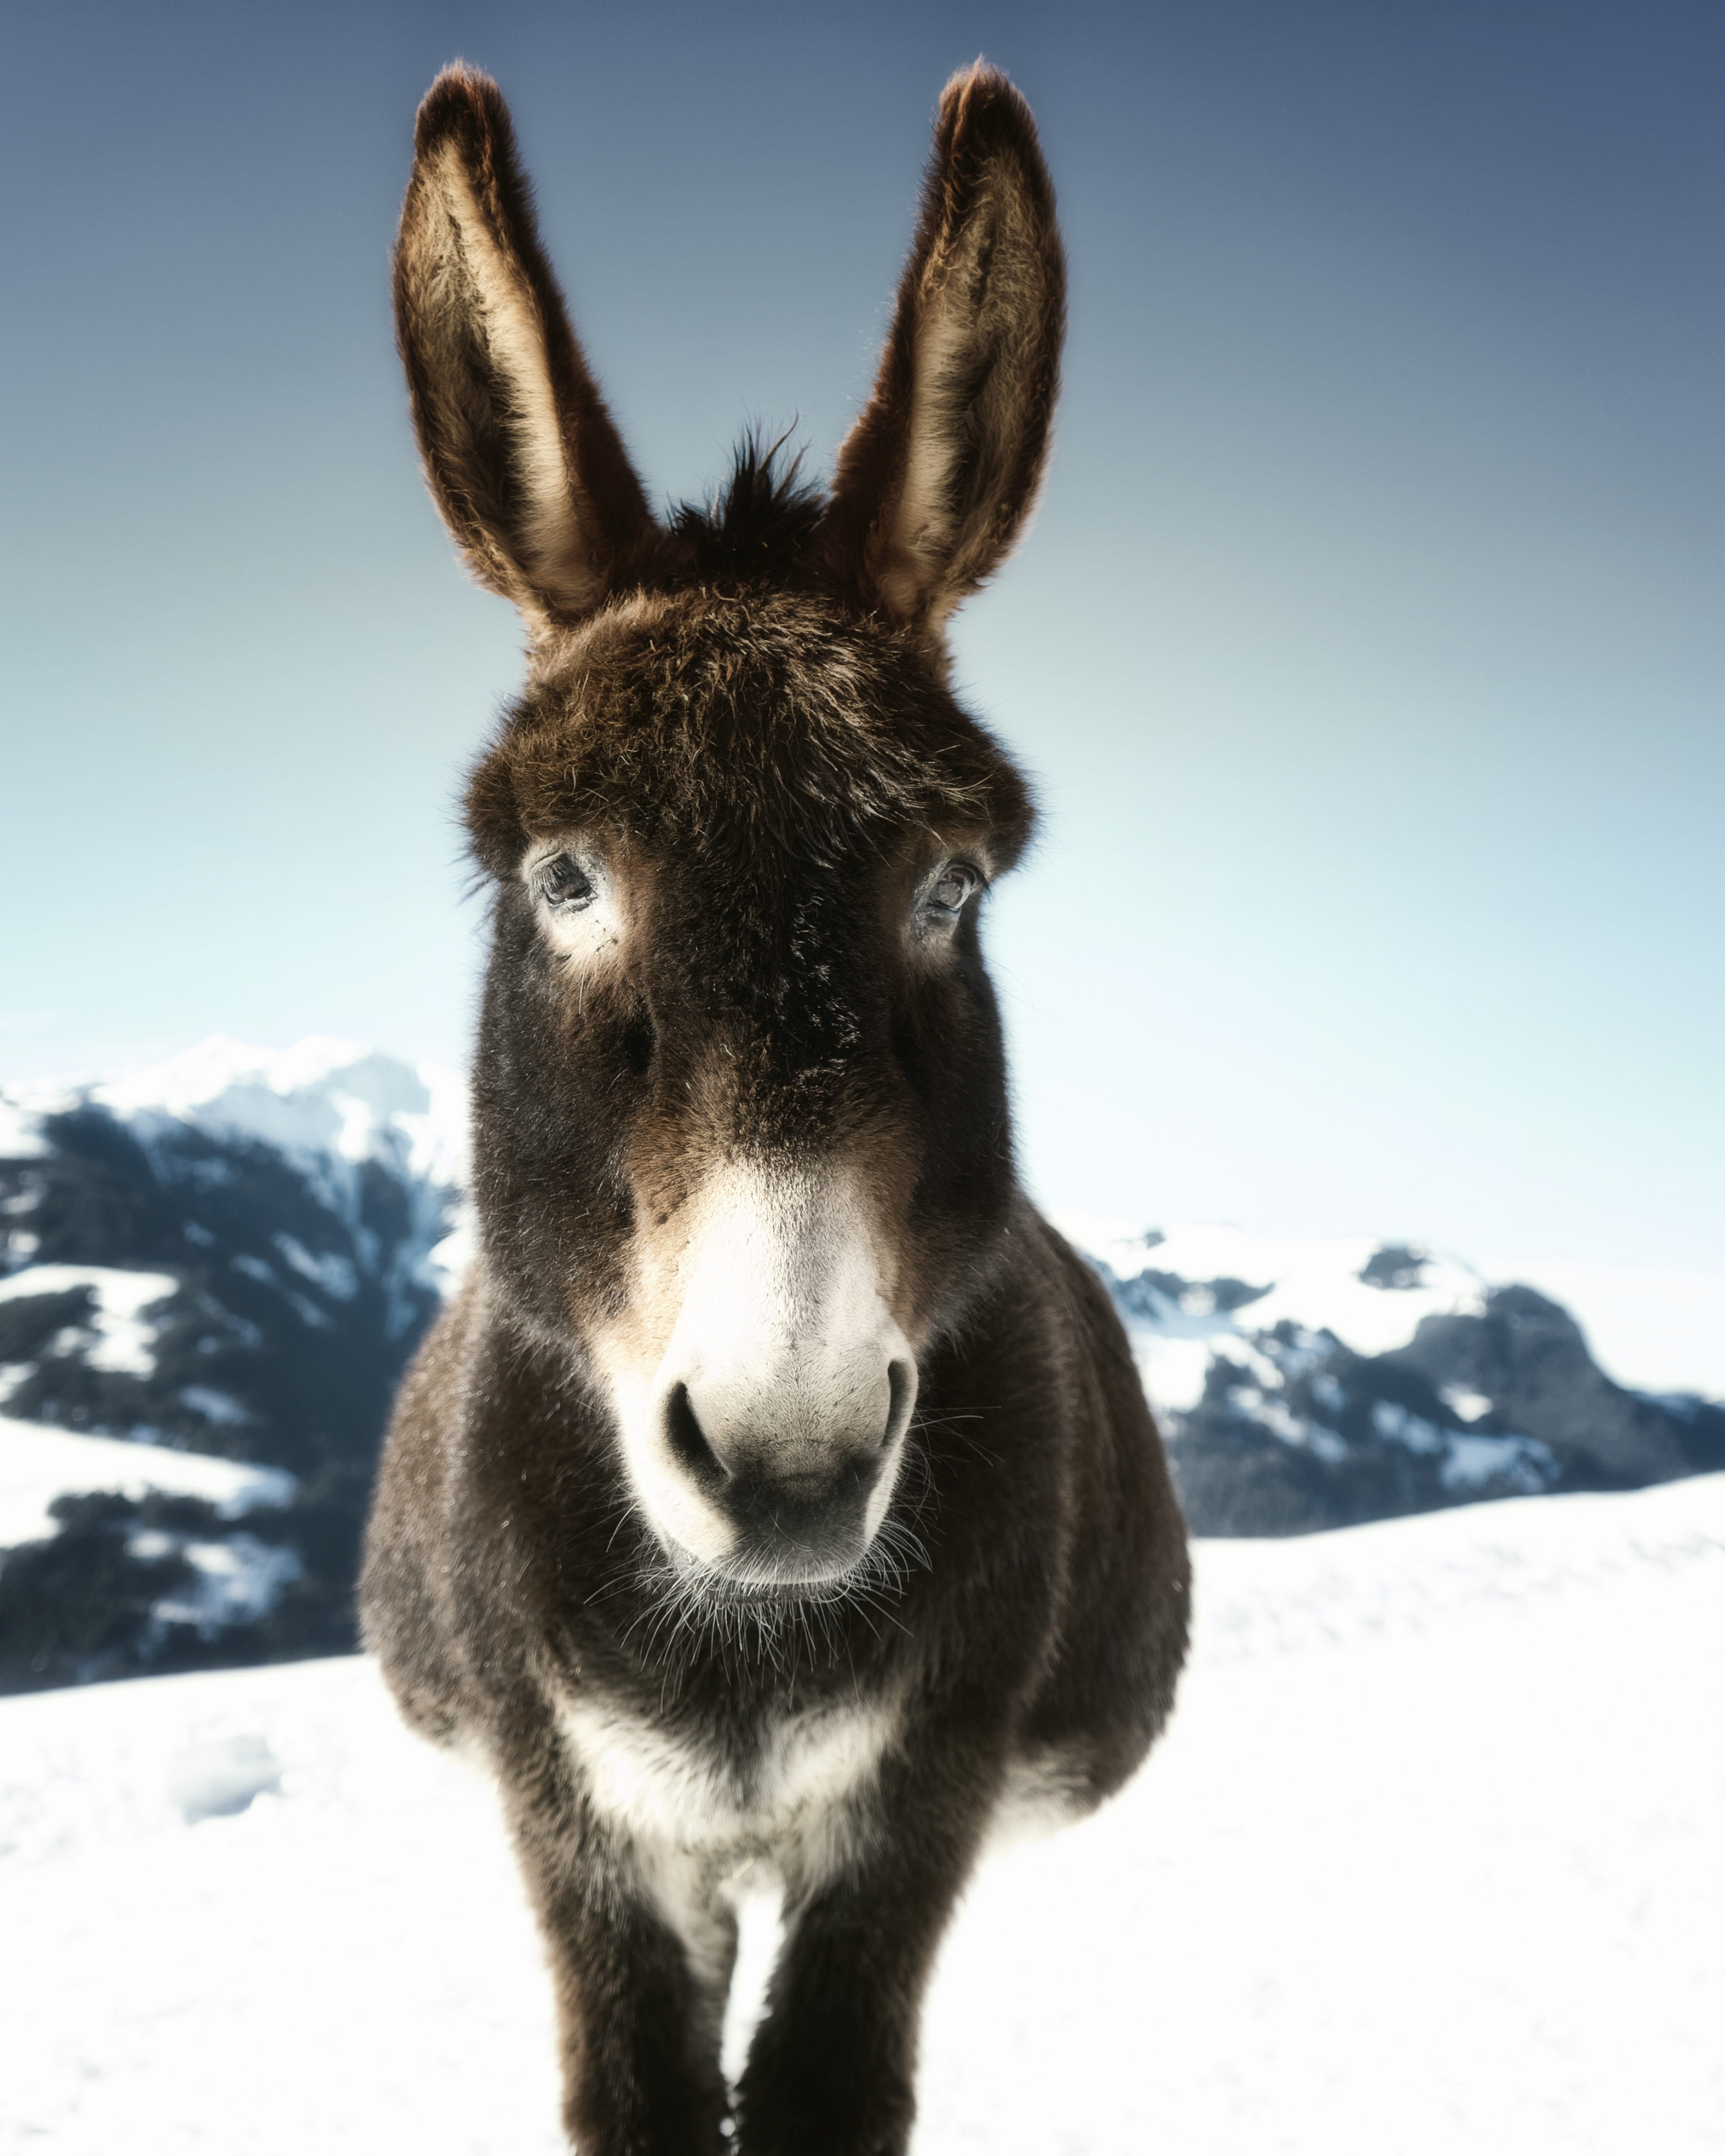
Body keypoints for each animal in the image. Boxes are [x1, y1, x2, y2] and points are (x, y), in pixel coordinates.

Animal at [360, 58, 1190, 2156]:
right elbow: (640, 2088)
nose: (789, 1465)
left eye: (949, 887)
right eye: (565, 878)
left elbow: (824, 2087)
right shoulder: (567, 1807)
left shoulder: (923, 1793)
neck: (736, 1649)